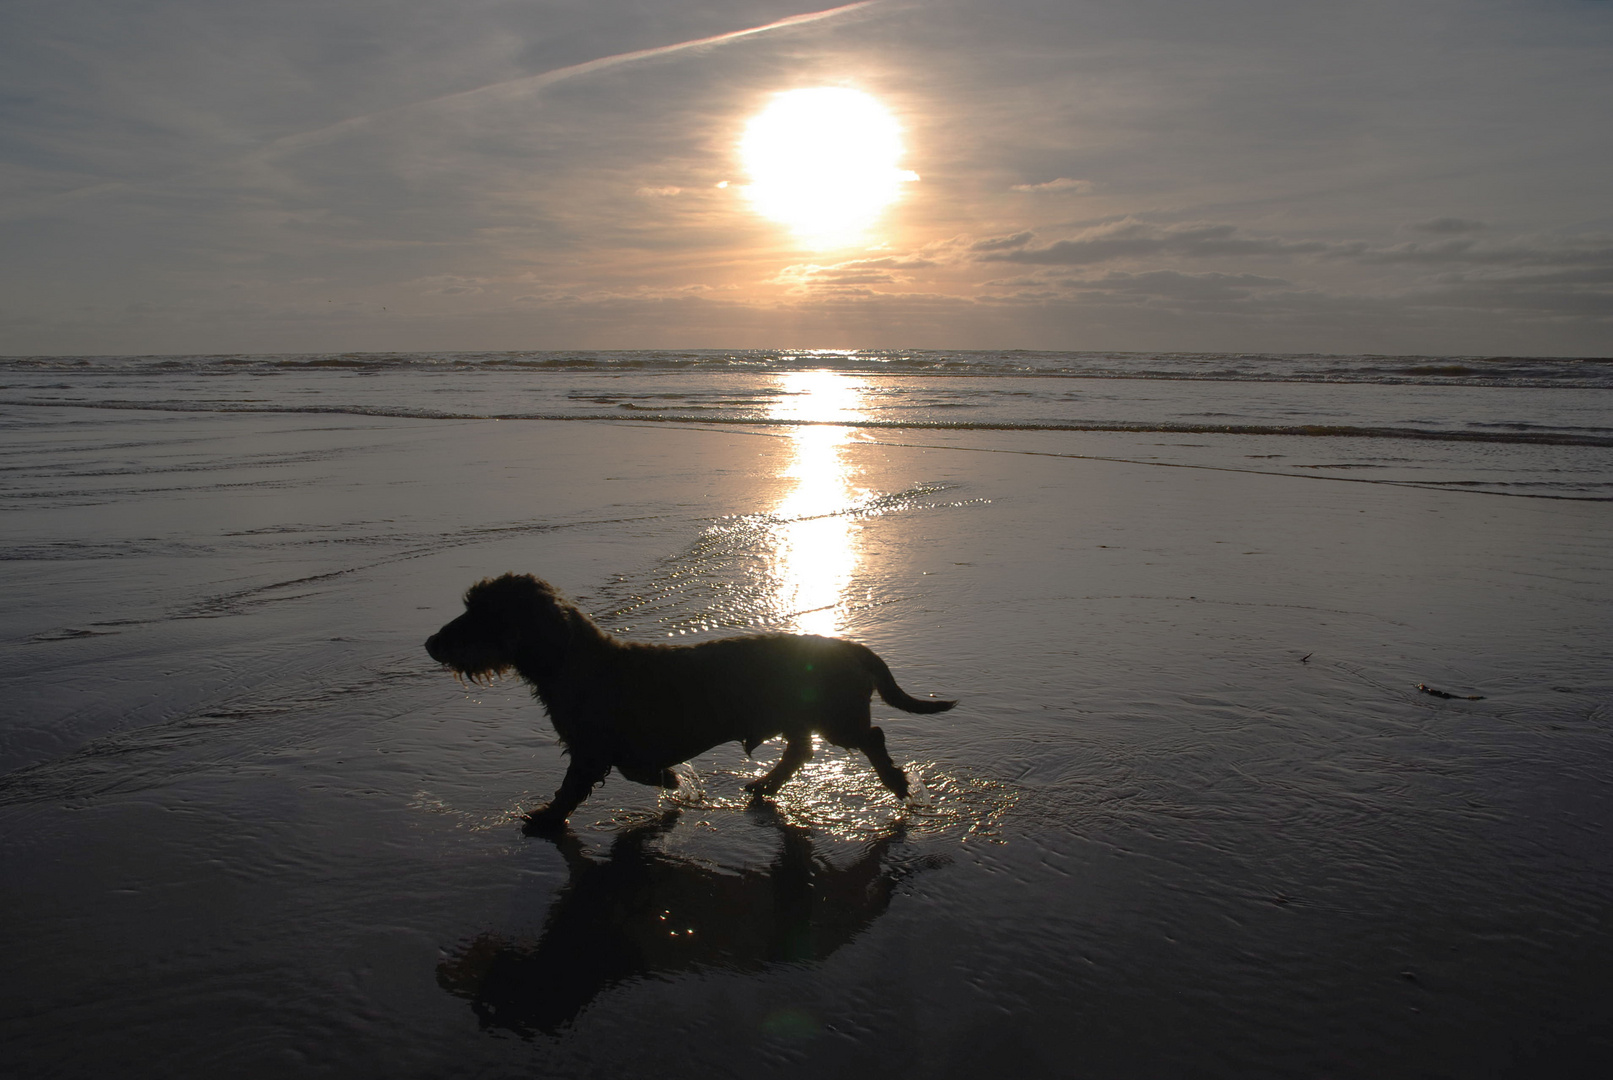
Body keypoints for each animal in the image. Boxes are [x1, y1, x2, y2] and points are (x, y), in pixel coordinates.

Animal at [429, 580, 954, 831]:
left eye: (483, 613)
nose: (432, 643)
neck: (577, 658)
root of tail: (847, 645)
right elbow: (641, 771)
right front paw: (672, 781)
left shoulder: (590, 751)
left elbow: (572, 788)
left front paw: (546, 817)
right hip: (801, 716)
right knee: (799, 752)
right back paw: (764, 785)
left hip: (835, 717)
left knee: (871, 738)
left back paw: (896, 782)